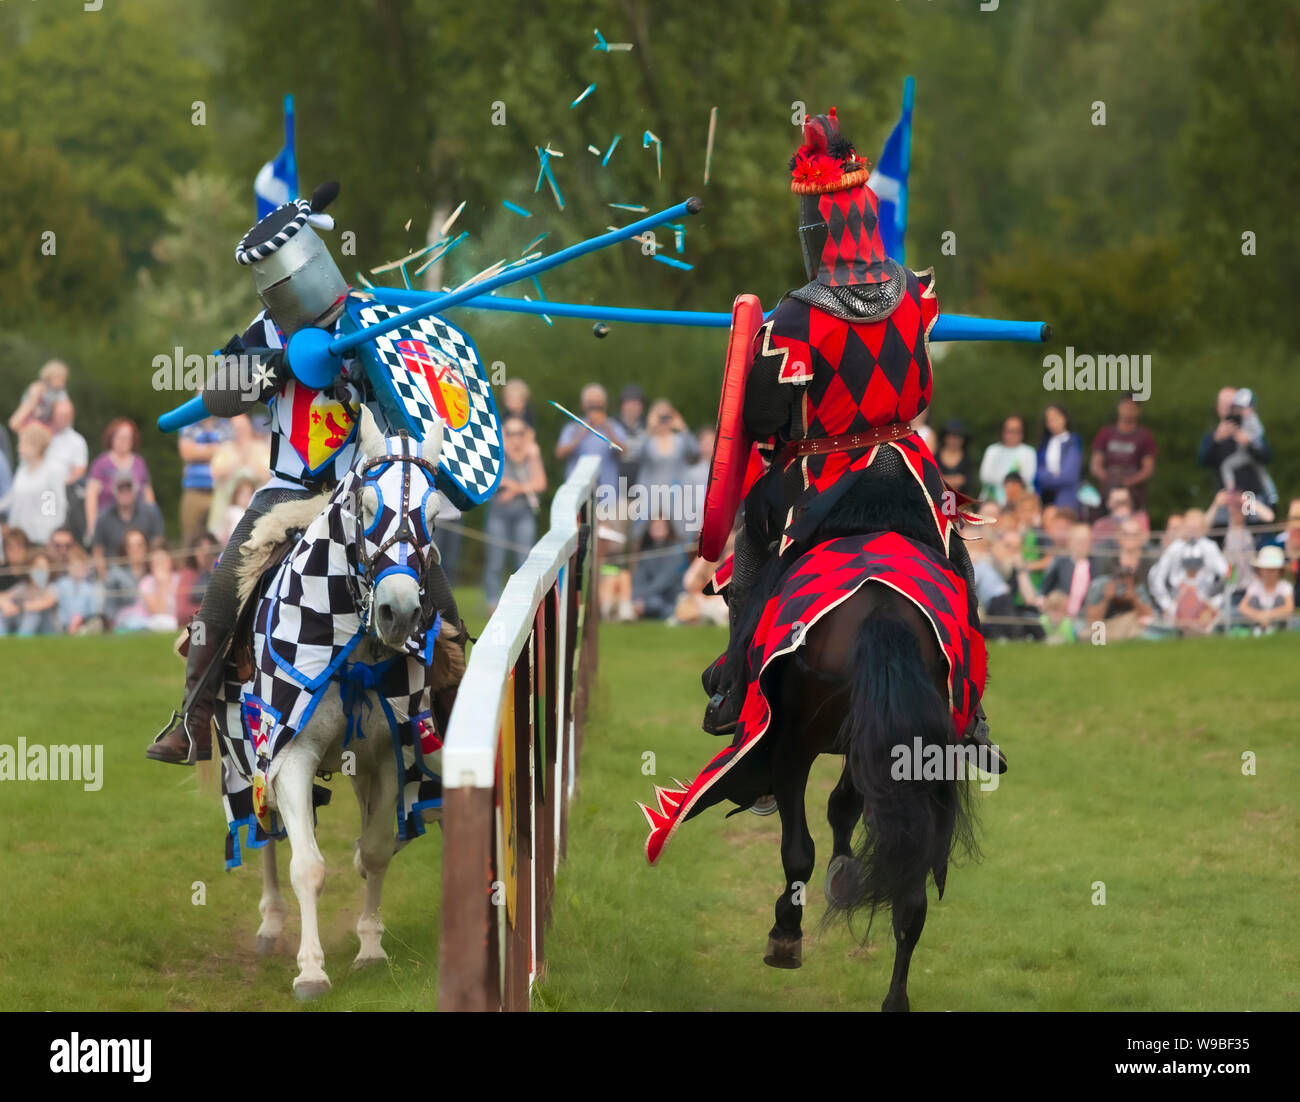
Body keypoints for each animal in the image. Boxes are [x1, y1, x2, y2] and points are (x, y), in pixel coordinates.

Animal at [211, 408, 457, 1003]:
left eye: (433, 515)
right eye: (365, 506)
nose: (399, 612)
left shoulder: (390, 754)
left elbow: (376, 848)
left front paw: (370, 948)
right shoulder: (289, 754)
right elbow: (307, 866)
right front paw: (311, 970)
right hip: (243, 757)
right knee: (266, 832)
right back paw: (272, 923)